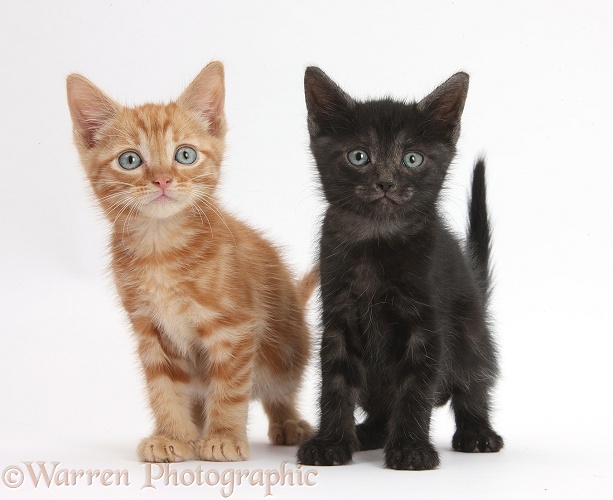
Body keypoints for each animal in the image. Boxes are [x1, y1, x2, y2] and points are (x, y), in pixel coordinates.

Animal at [67, 63, 314, 464]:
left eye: (184, 155)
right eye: (130, 160)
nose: (163, 180)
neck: (161, 249)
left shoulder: (233, 327)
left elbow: (229, 387)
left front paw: (224, 436)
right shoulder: (151, 329)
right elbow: (164, 388)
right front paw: (172, 436)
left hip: (286, 352)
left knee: (279, 392)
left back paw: (287, 423)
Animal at [296, 67, 502, 468]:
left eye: (412, 159)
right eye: (359, 156)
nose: (386, 183)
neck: (376, 237)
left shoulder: (426, 322)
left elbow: (415, 387)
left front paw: (411, 449)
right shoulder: (337, 317)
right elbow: (335, 383)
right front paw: (330, 443)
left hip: (470, 332)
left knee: (473, 383)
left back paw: (477, 433)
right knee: (380, 406)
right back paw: (367, 433)